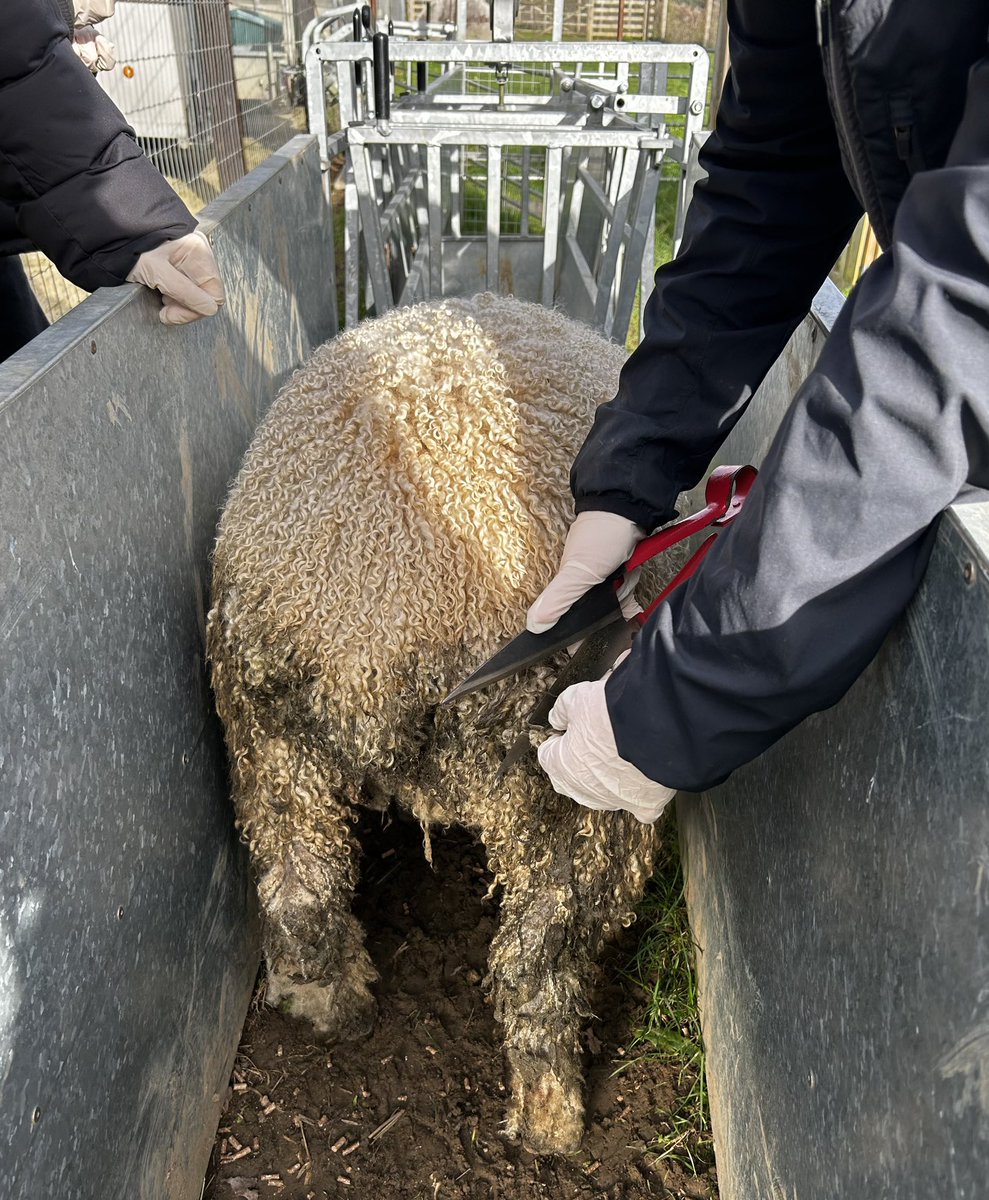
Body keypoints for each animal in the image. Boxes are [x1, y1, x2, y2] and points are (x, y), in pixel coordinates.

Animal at [206, 294, 660, 1155]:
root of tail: (369, 616)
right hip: (567, 791)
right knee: (540, 960)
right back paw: (551, 1117)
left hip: (268, 735)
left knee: (298, 885)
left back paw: (327, 1004)